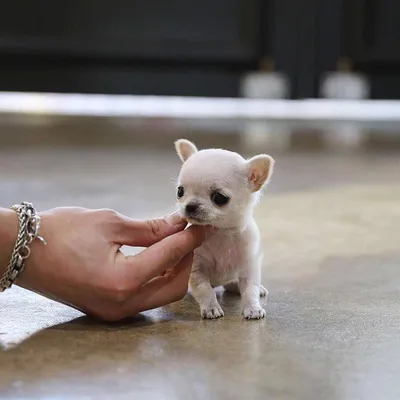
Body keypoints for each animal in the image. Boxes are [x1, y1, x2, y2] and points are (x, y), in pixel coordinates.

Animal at [173, 139, 274, 320]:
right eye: (180, 191)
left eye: (219, 198)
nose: (190, 206)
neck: (221, 232)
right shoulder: (196, 269)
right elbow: (204, 290)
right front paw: (211, 308)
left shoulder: (249, 267)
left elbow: (250, 290)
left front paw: (253, 308)